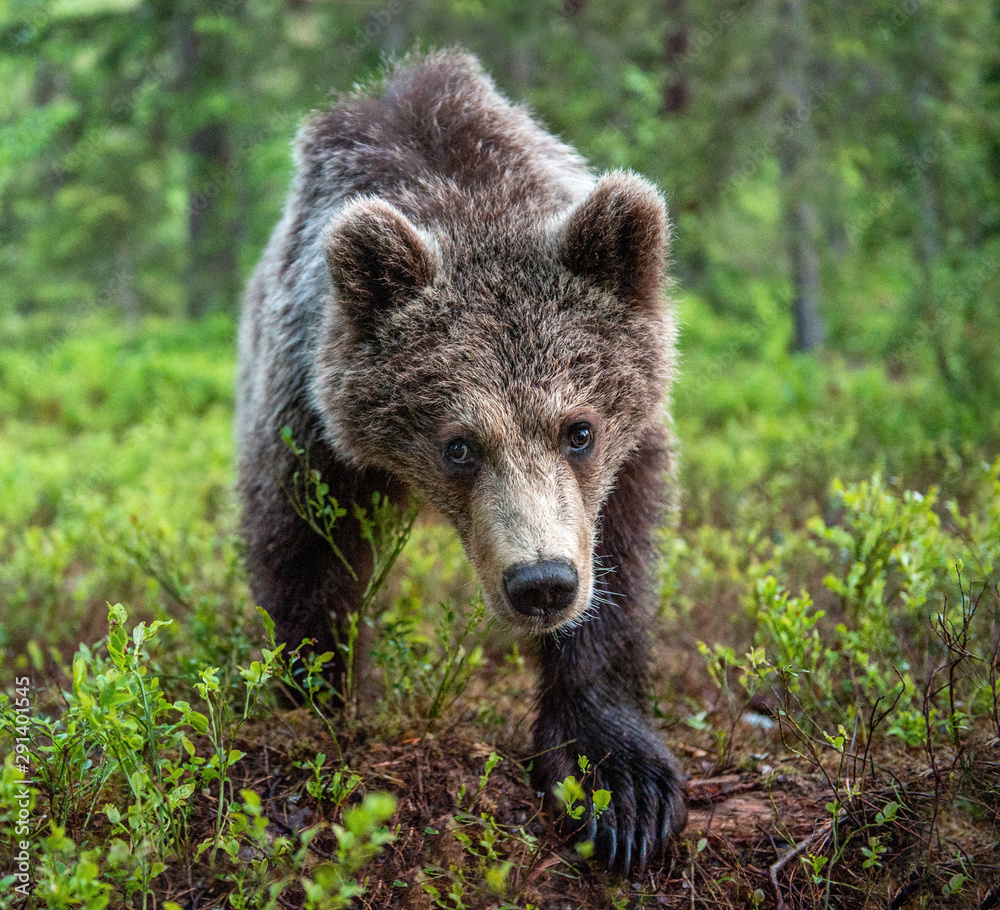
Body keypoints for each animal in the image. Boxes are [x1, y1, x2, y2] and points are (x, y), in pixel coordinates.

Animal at [236, 49, 686, 872]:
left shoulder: (622, 460)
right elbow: (305, 553)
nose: (542, 583)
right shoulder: (308, 422)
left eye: (579, 430)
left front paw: (622, 787)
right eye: (459, 444)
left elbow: (620, 564)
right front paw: (316, 703)